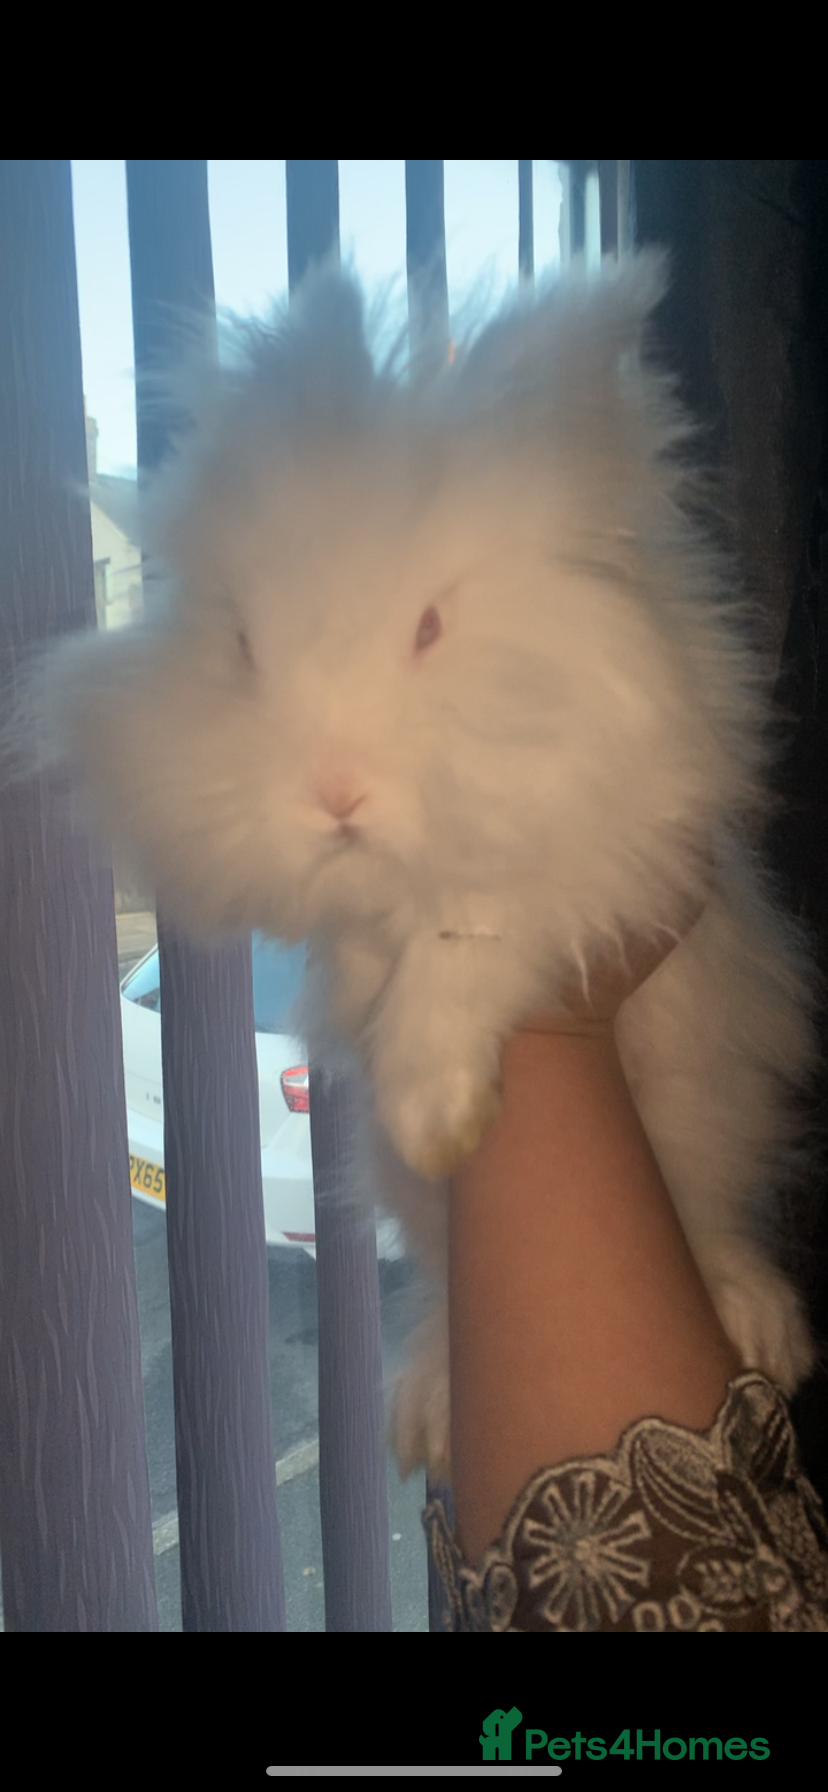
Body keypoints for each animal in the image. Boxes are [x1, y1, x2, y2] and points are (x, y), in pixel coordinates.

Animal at [26, 255, 817, 1480]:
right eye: (243, 645)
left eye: (433, 626)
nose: (336, 793)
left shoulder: (607, 848)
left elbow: (465, 939)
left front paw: (428, 1102)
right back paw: (430, 1409)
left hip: (713, 1099)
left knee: (715, 1218)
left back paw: (761, 1325)